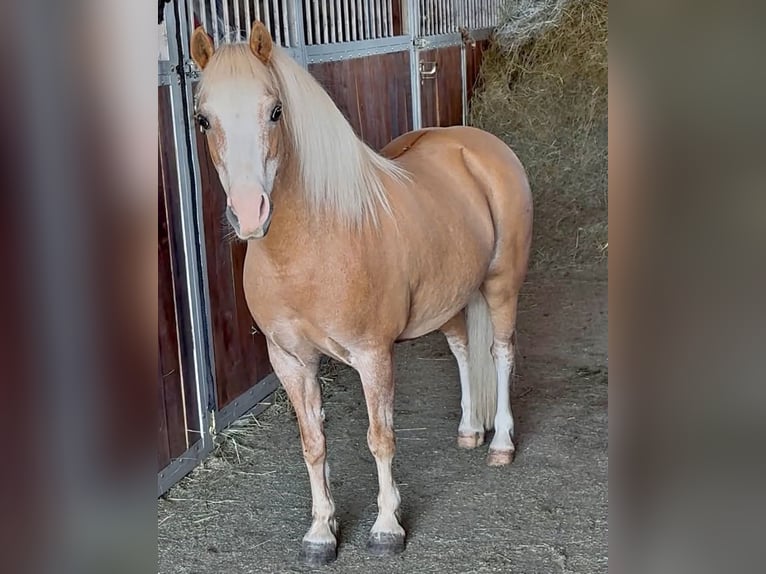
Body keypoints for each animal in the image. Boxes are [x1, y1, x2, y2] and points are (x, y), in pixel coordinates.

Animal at [190, 21, 533, 566]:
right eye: (203, 119)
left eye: (275, 111)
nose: (249, 213)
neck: (310, 246)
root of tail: (479, 145)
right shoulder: (290, 360)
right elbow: (313, 442)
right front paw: (320, 532)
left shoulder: (373, 356)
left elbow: (380, 438)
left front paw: (387, 527)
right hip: (452, 297)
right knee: (463, 349)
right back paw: (469, 431)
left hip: (501, 285)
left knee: (500, 353)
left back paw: (500, 442)